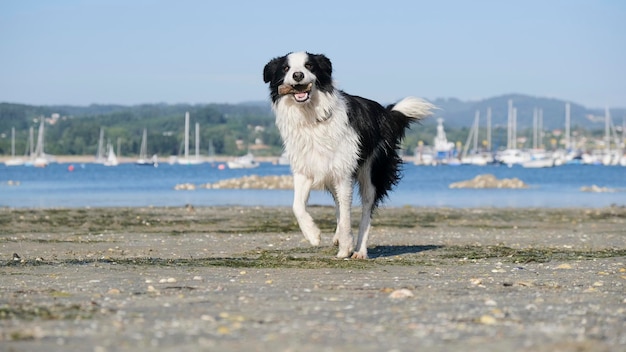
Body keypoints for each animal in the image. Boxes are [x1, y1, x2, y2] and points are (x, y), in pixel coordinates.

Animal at [260, 51, 432, 258]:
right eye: (286, 68)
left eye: (309, 66)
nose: (298, 75)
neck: (311, 117)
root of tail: (385, 113)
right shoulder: (304, 169)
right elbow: (297, 206)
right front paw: (313, 235)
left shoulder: (343, 173)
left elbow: (347, 214)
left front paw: (346, 247)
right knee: (338, 206)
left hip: (371, 172)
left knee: (366, 209)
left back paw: (359, 250)